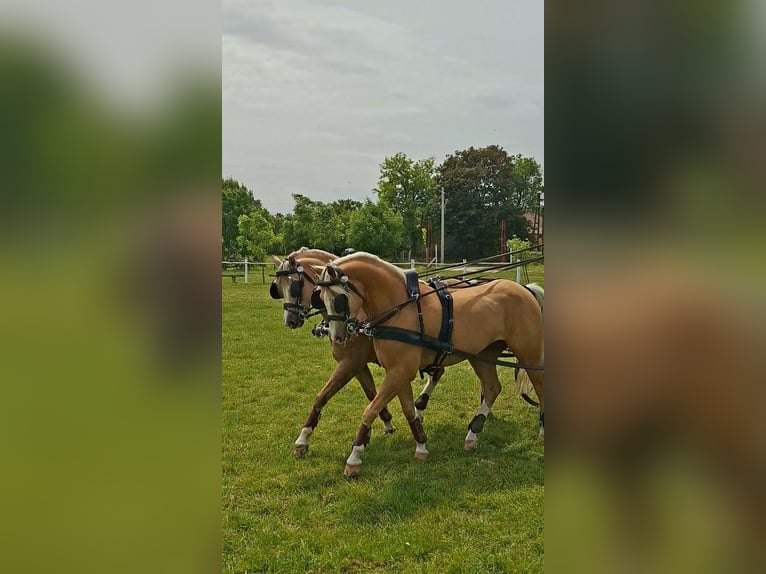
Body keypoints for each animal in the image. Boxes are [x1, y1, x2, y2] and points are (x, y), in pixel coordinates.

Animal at [269, 248, 446, 456]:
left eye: (295, 286)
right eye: (278, 288)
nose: (289, 321)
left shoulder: (351, 362)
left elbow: (322, 396)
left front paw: (303, 439)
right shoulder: (358, 366)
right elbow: (371, 394)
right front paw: (385, 424)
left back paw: (420, 406)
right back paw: (419, 409)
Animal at [313, 251, 544, 477]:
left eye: (338, 299)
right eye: (320, 297)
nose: (336, 336)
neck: (400, 308)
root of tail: (525, 290)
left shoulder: (399, 371)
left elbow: (371, 409)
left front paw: (354, 458)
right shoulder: (398, 371)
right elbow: (408, 409)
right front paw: (421, 447)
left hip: (529, 355)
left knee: (539, 388)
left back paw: (542, 430)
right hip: (482, 355)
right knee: (492, 388)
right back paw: (472, 434)